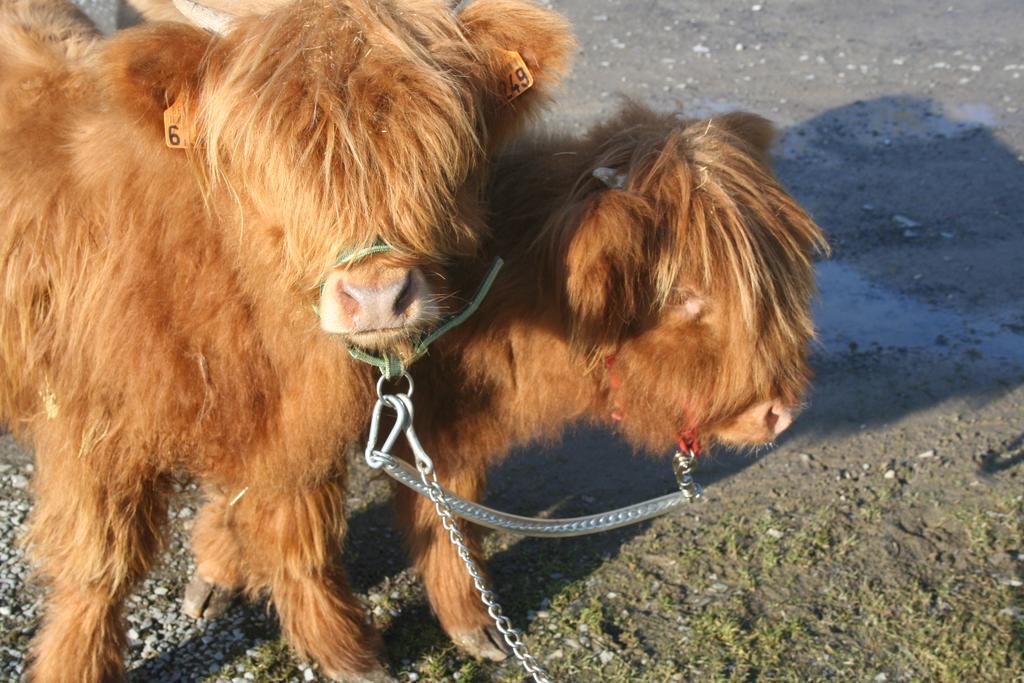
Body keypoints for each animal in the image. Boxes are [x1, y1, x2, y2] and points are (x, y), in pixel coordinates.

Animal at [0, 0, 577, 679]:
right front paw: (76, 663)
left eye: (440, 146)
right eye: (270, 156)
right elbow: (98, 570)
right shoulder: (92, 433)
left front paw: (340, 648)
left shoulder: (291, 427)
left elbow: (301, 533)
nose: (377, 296)